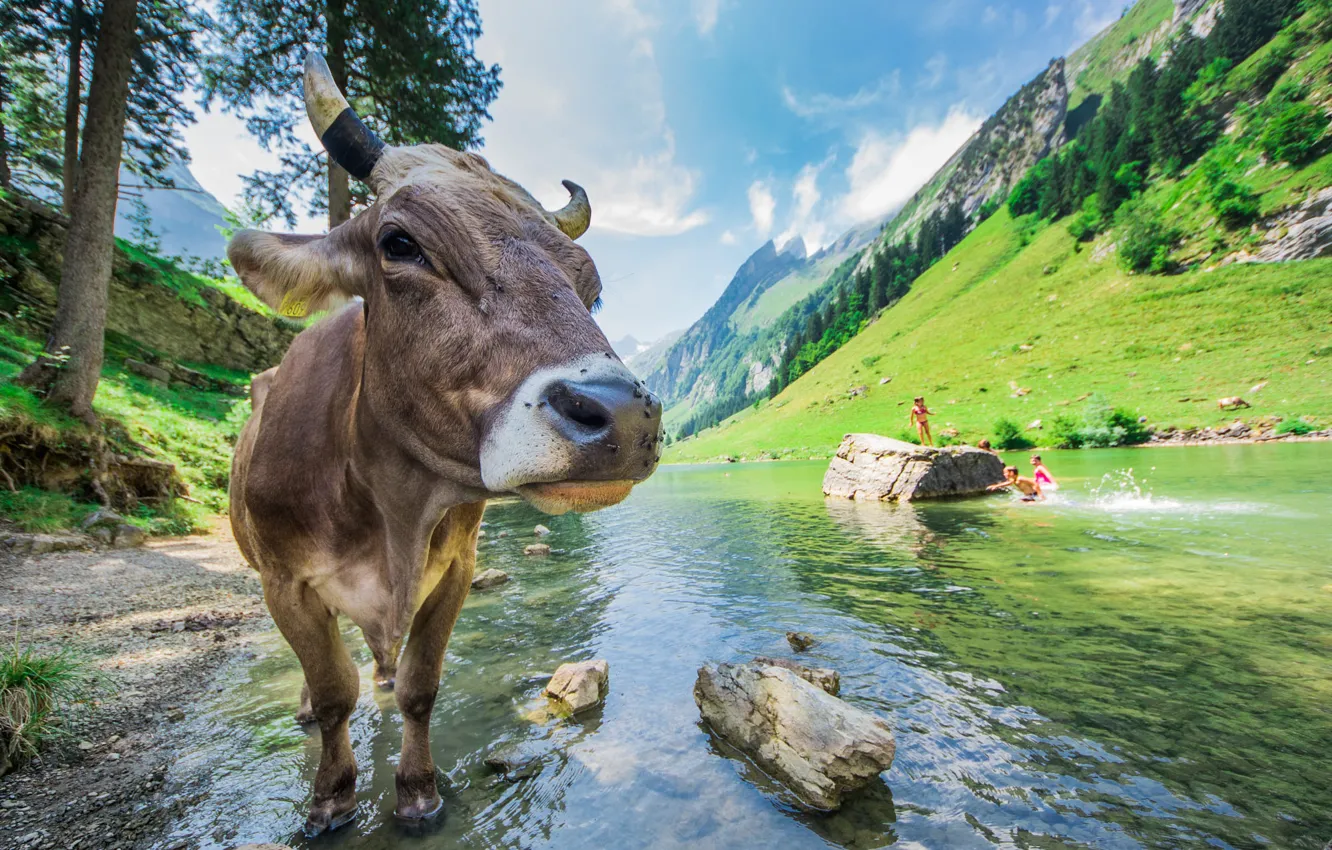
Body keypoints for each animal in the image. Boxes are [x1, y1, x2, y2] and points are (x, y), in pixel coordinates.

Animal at [226, 54, 663, 835]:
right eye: (401, 244)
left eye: (590, 286)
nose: (625, 418)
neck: (387, 507)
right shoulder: (285, 583)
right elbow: (332, 693)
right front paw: (332, 798)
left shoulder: (454, 570)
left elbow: (422, 687)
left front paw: (417, 790)